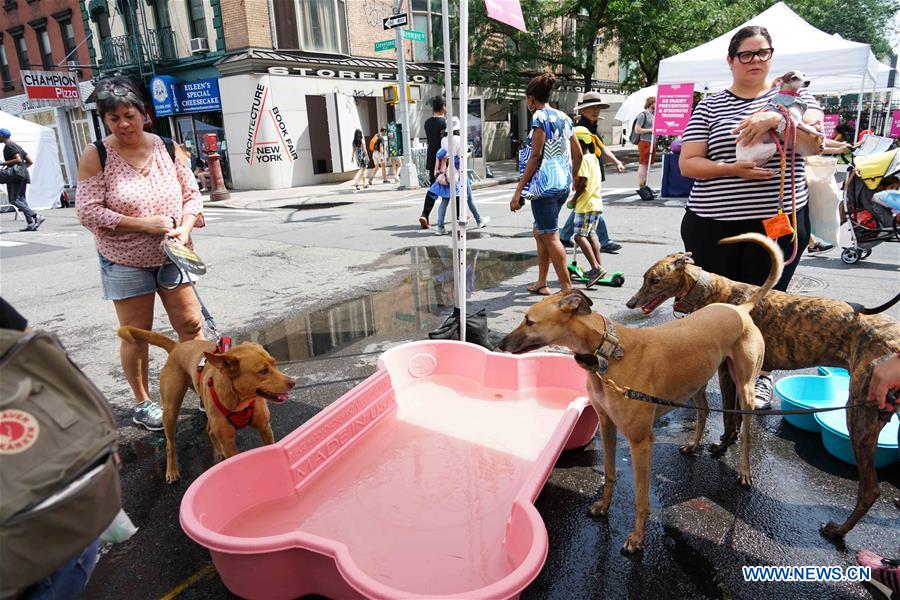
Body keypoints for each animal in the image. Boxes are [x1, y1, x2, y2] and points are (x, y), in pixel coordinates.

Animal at [116, 328, 296, 482]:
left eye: (274, 363)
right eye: (263, 371)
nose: (293, 382)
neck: (239, 401)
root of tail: (177, 347)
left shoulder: (265, 428)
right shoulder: (229, 443)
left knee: (209, 431)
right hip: (171, 412)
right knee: (170, 444)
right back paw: (172, 470)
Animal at [624, 237, 900, 540]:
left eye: (654, 279)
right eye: (645, 278)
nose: (630, 302)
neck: (709, 289)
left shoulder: (726, 372)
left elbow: (729, 416)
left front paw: (723, 446)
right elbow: (730, 419)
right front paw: (724, 444)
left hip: (859, 416)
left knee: (870, 489)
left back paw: (837, 530)